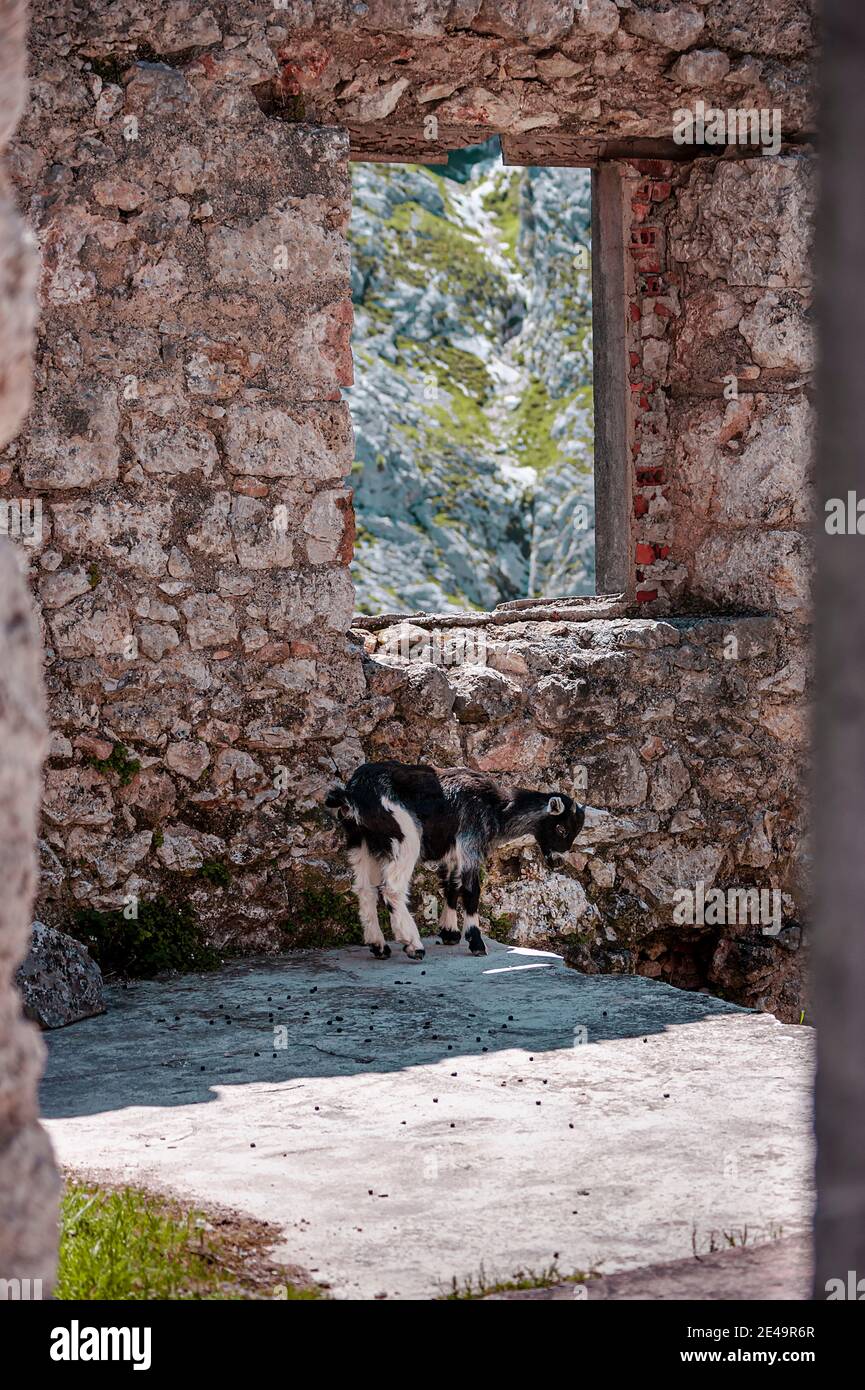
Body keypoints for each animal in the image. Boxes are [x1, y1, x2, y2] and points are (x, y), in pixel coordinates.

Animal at [326, 761, 589, 967]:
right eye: (561, 828)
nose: (557, 862)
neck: (496, 807)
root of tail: (353, 792)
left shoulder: (453, 852)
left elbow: (451, 886)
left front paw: (449, 932)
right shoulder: (470, 843)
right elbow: (471, 891)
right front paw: (476, 941)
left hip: (360, 842)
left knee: (364, 890)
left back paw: (378, 946)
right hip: (406, 837)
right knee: (391, 888)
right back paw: (413, 944)